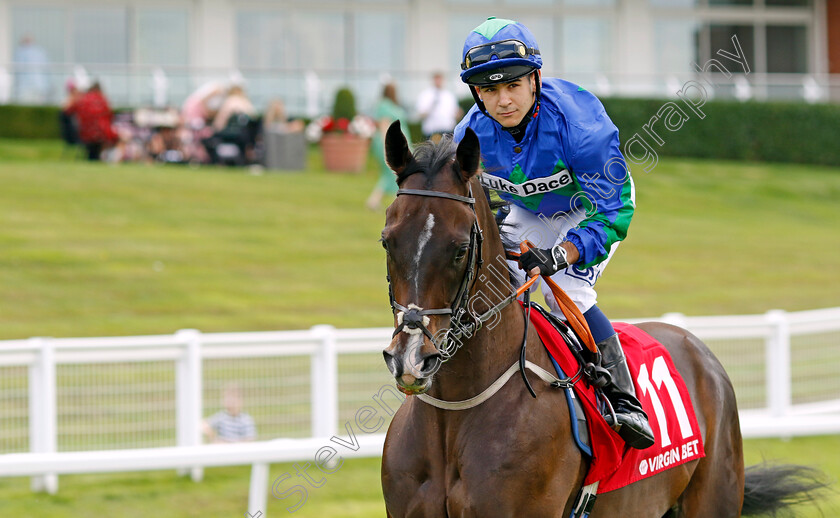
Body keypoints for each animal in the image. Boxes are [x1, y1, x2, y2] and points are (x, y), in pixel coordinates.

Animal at [378, 123, 824, 518]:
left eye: (459, 249)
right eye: (387, 240)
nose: (411, 358)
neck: (454, 414)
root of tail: (697, 348)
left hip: (714, 496)